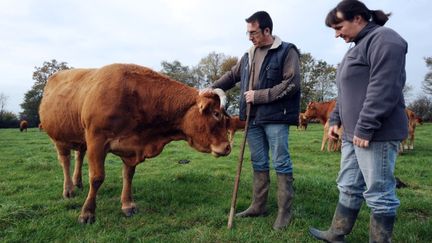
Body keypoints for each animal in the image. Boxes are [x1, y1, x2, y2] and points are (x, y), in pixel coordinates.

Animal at [39, 63, 243, 224]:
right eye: (216, 114)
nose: (227, 147)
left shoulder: (131, 148)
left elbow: (128, 175)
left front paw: (127, 204)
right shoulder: (96, 140)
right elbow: (97, 178)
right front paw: (87, 213)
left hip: (79, 137)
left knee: (79, 155)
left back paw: (78, 182)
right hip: (59, 138)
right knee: (65, 161)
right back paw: (69, 190)